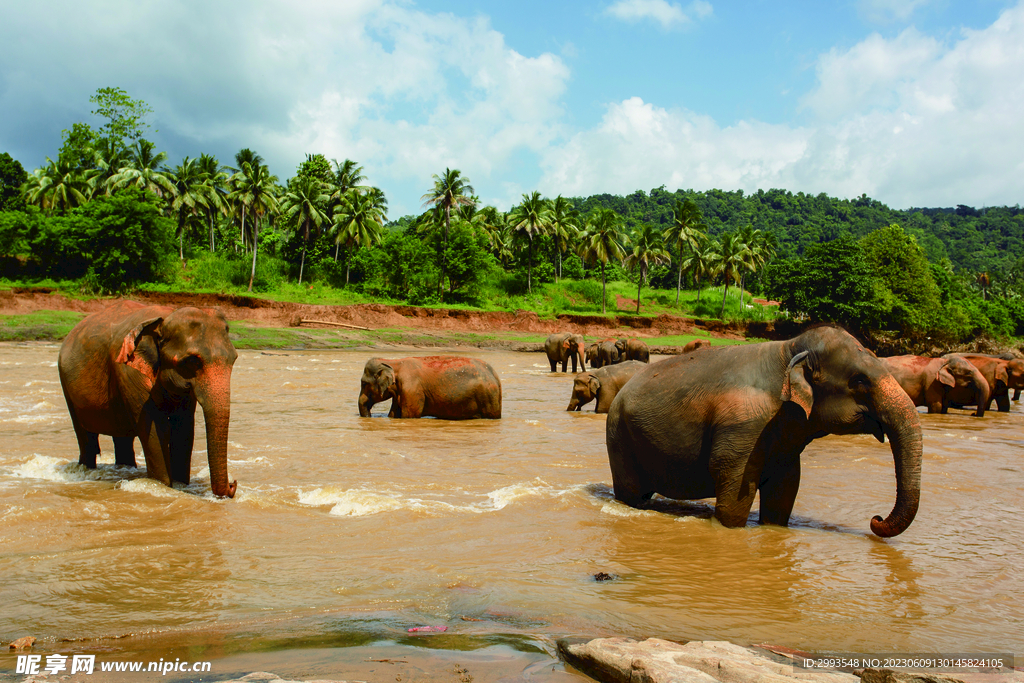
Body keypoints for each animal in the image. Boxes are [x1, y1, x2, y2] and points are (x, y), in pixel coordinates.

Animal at [59, 301, 241, 497]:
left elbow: (183, 429)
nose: (233, 484)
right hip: (67, 385)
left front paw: (181, 486)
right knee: (85, 435)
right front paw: (162, 486)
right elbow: (155, 429)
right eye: (191, 361)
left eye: (234, 359)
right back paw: (86, 470)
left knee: (122, 439)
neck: (166, 317)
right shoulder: (128, 372)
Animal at [358, 356, 501, 419]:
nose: (370, 416)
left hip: (488, 396)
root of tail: (495, 375)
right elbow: (393, 414)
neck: (394, 362)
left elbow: (409, 415)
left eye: (363, 383)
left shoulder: (412, 389)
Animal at [602, 325, 925, 540]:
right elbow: (733, 490)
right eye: (859, 381)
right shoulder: (743, 425)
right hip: (618, 437)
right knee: (631, 494)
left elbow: (785, 488)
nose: (875, 518)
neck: (788, 350)